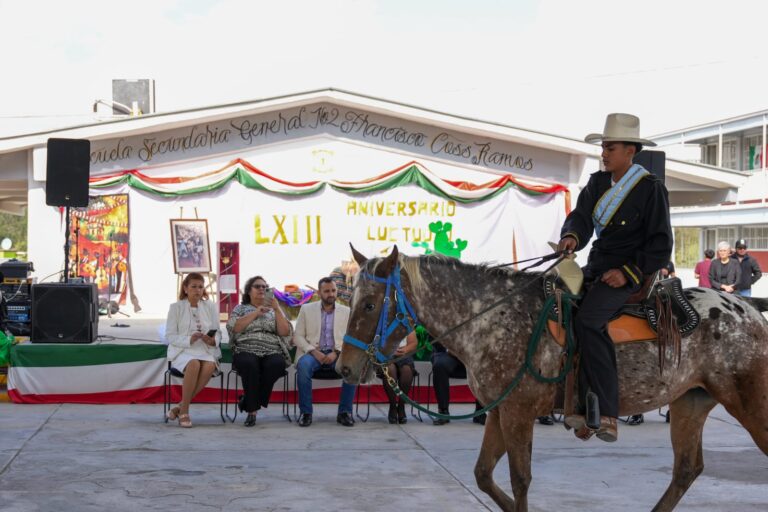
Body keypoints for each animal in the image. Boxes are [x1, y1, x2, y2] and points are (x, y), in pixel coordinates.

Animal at [340, 246, 768, 510]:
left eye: (370, 304)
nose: (345, 367)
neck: (491, 318)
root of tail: (749, 310)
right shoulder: (499, 411)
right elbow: (483, 475)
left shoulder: (517, 412)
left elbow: (519, 478)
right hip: (690, 402)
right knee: (686, 470)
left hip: (751, 406)